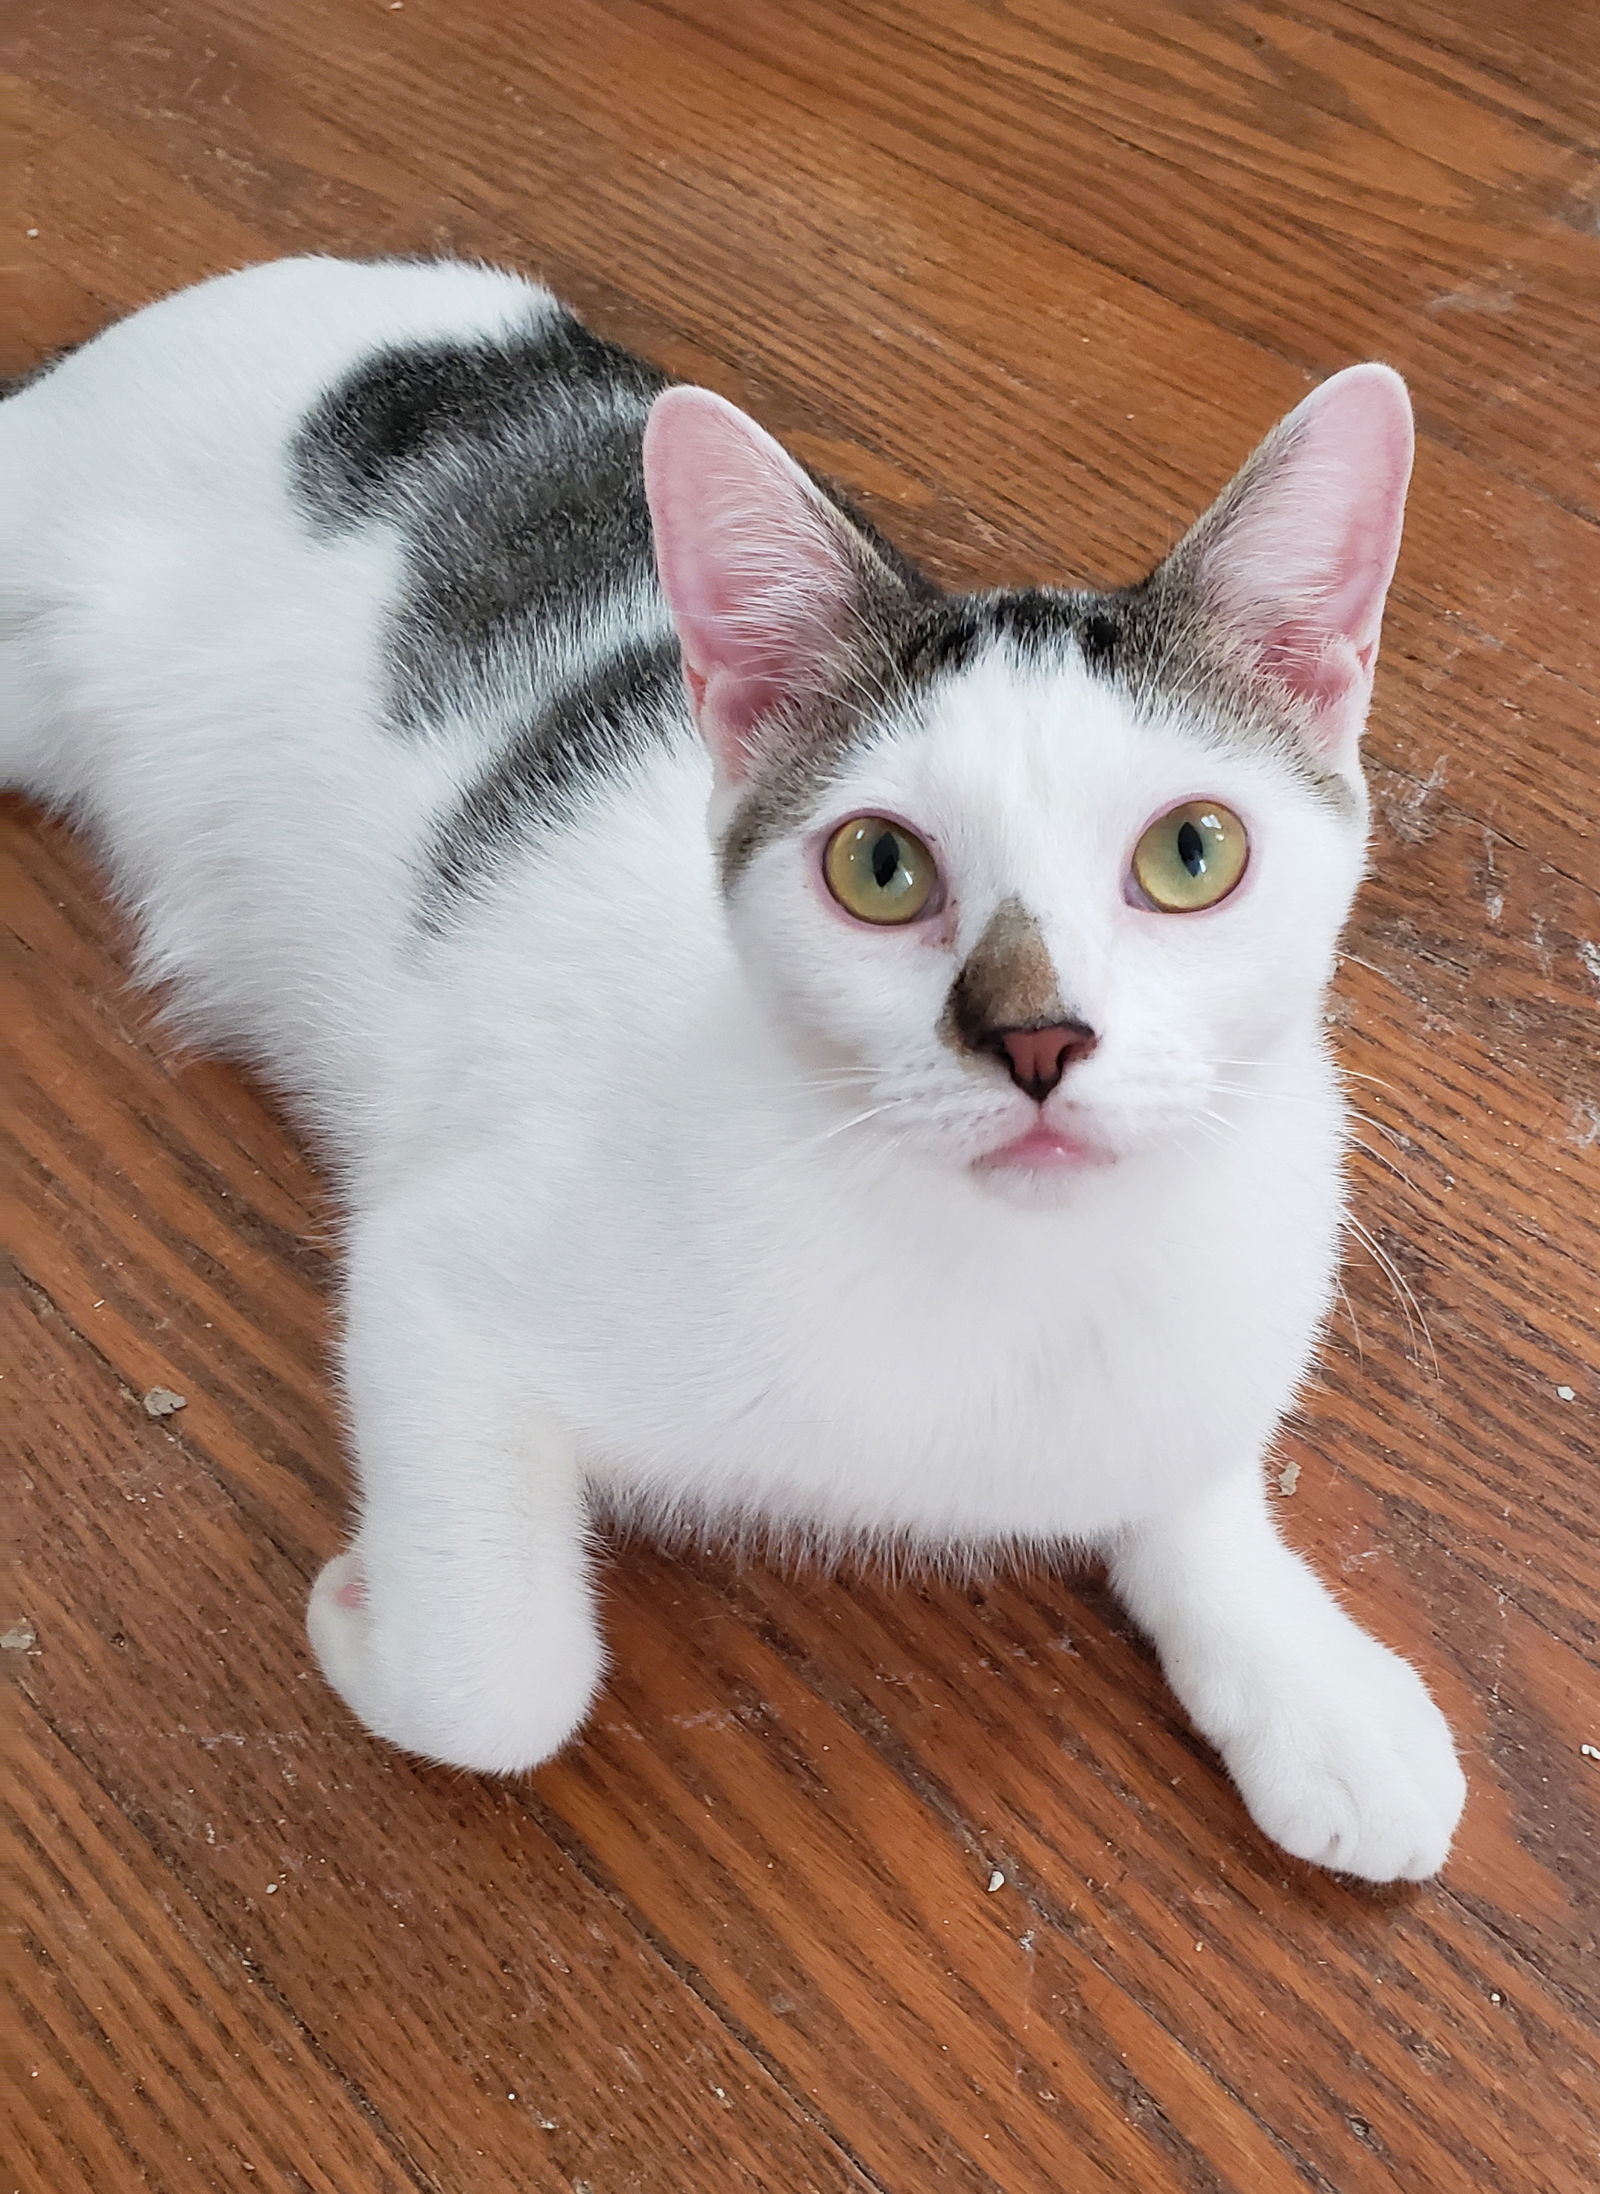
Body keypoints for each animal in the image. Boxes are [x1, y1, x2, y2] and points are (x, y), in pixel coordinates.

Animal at [0, 261, 1466, 1886]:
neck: (995, 1274)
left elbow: (1190, 1464)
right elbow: (499, 1688)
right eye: (880, 866)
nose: (1036, 1036)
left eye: (1192, 851)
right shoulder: (435, 1285)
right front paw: (366, 1619)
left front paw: (1305, 1674)